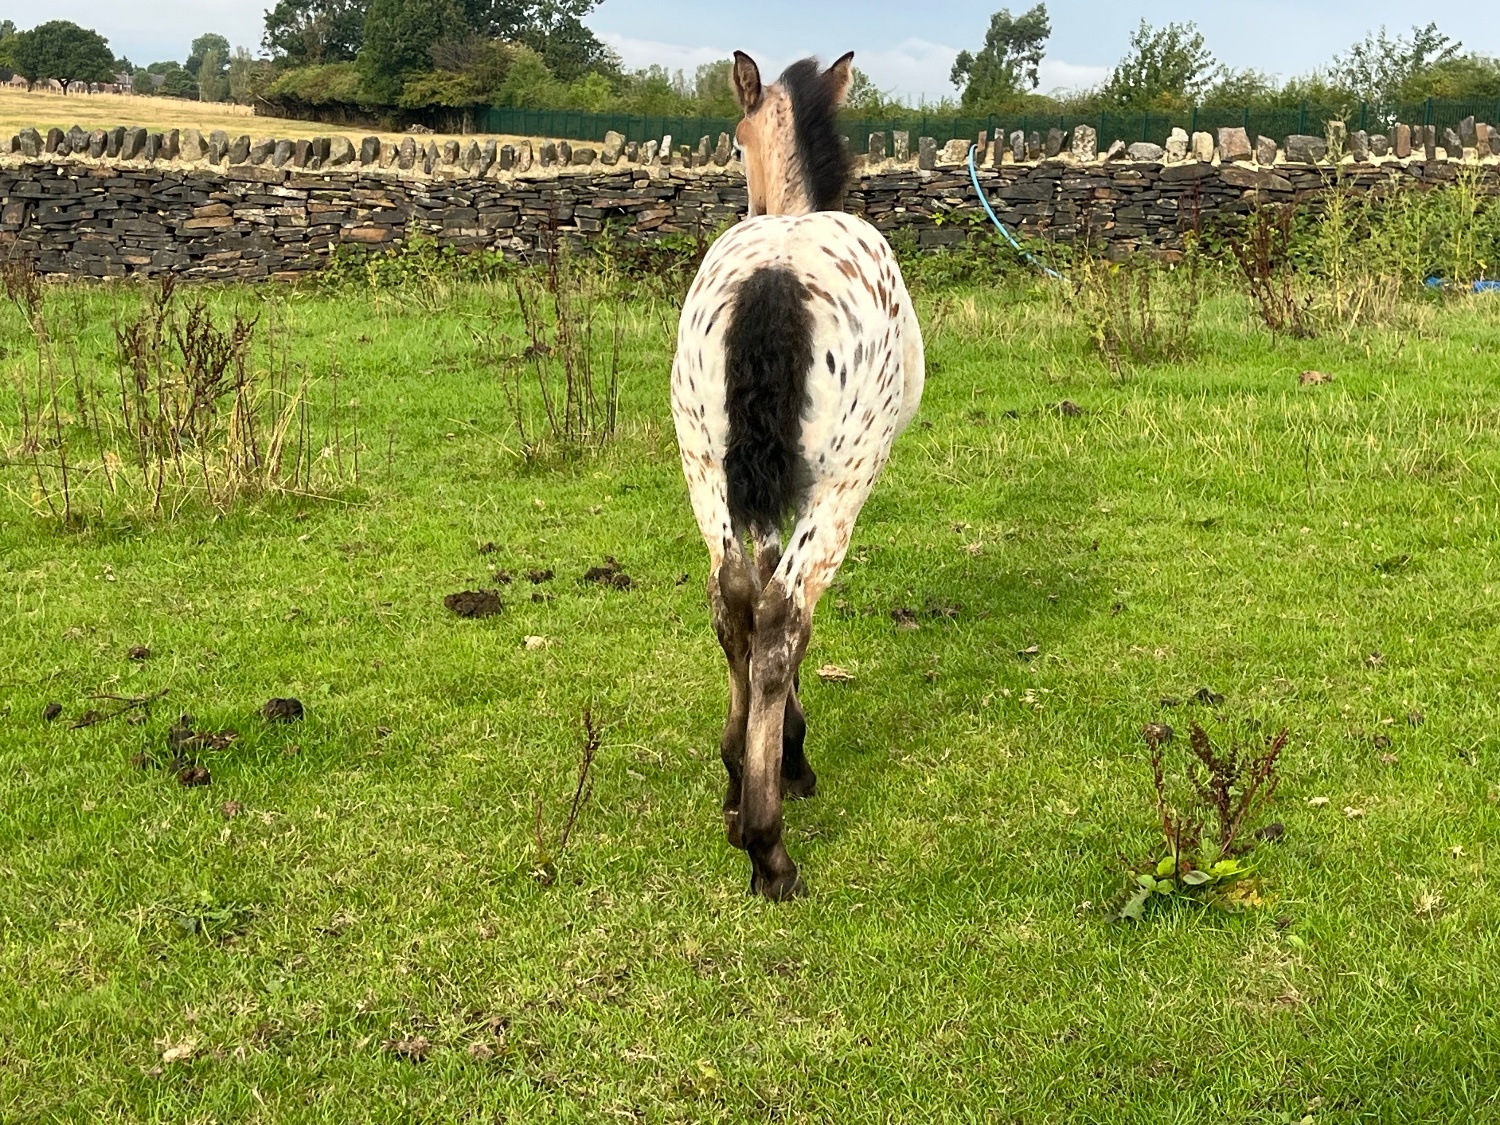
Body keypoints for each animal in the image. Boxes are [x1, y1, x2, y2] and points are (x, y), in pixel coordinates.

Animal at [670, 50, 926, 899]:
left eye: (734, 140)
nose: (745, 198)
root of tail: (776, 268)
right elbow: (796, 621)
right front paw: (792, 759)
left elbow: (748, 598)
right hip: (844, 481)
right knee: (784, 616)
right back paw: (768, 846)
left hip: (704, 469)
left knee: (732, 600)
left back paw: (733, 787)